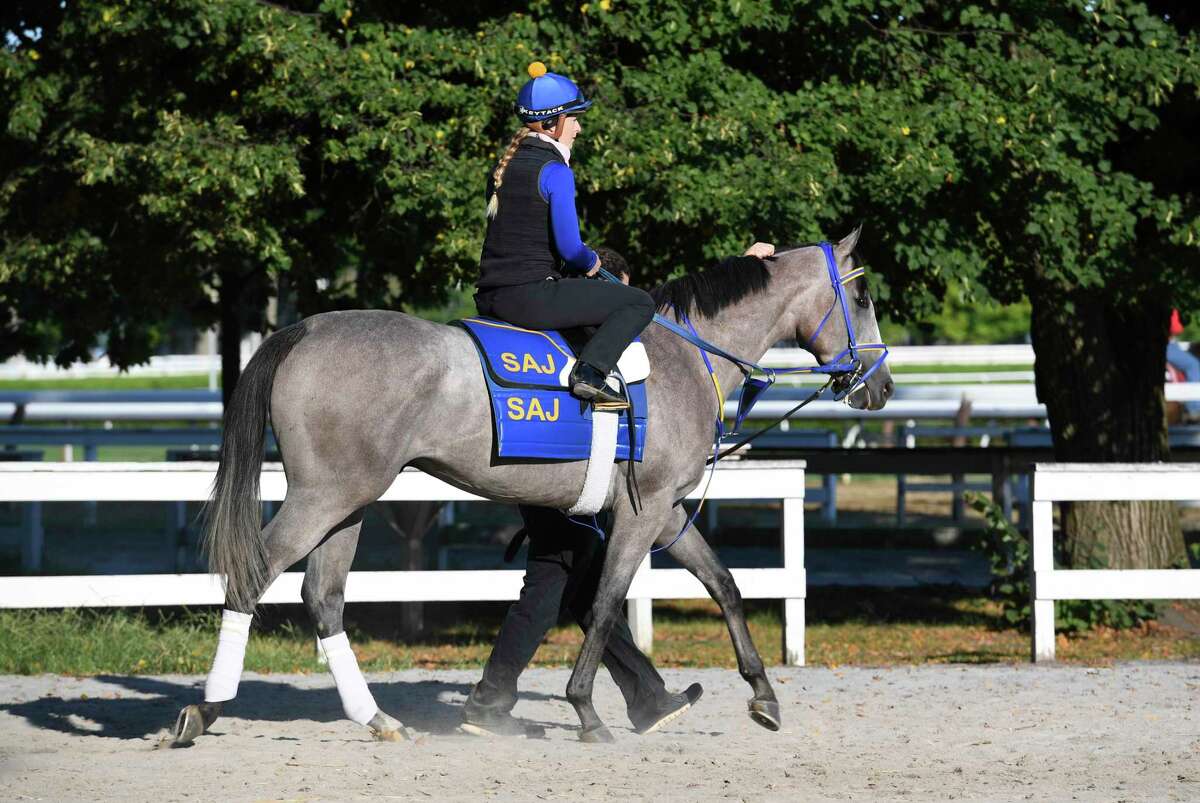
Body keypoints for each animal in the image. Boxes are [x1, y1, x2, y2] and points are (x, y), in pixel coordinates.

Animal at [175, 228, 892, 744]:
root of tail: (307, 327)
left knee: (323, 597)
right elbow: (604, 604)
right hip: (322, 497)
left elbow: (724, 585)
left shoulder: (662, 511)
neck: (687, 356)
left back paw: (377, 718)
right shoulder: (642, 514)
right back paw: (205, 710)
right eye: (861, 299)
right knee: (252, 575)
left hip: (348, 504)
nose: (879, 385)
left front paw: (759, 695)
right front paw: (588, 711)